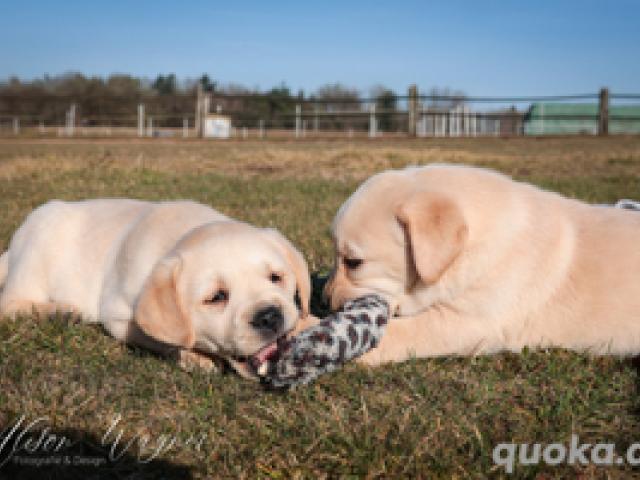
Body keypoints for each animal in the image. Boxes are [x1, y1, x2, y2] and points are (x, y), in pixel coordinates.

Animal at [0, 197, 310, 376]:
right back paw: (59, 311)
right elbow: (166, 339)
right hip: (39, 239)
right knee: (10, 303)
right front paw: (197, 356)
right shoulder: (118, 317)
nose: (269, 316)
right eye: (217, 297)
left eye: (276, 277)